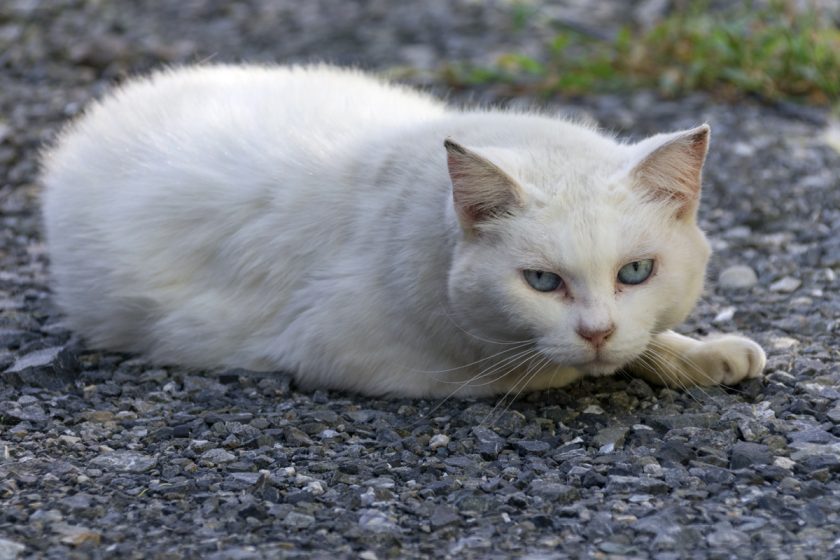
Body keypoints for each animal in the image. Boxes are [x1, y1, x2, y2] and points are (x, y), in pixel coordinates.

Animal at [41, 64, 768, 398]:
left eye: (636, 272)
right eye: (541, 282)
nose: (595, 332)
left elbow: (646, 340)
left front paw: (703, 353)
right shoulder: (345, 351)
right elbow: (543, 368)